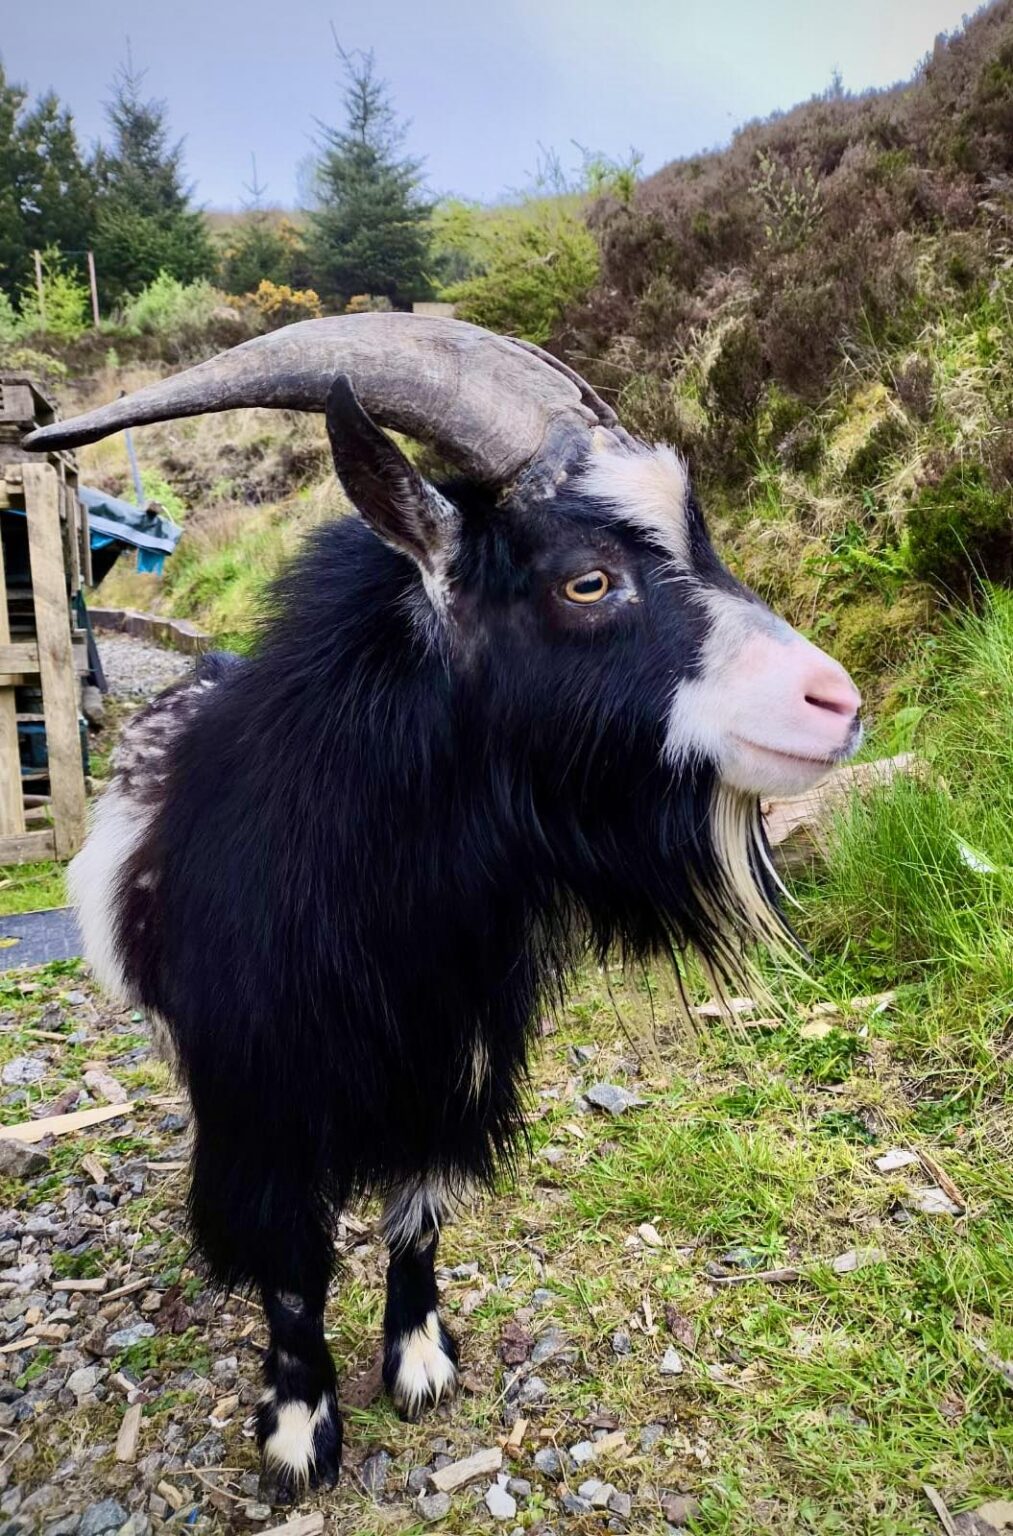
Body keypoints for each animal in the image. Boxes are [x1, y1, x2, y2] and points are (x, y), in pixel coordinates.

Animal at [27, 317, 859, 1492]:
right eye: (586, 582)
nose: (837, 704)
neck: (385, 918)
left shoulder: (453, 1061)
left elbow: (417, 1217)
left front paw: (419, 1365)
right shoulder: (265, 1099)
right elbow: (292, 1262)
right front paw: (298, 1430)